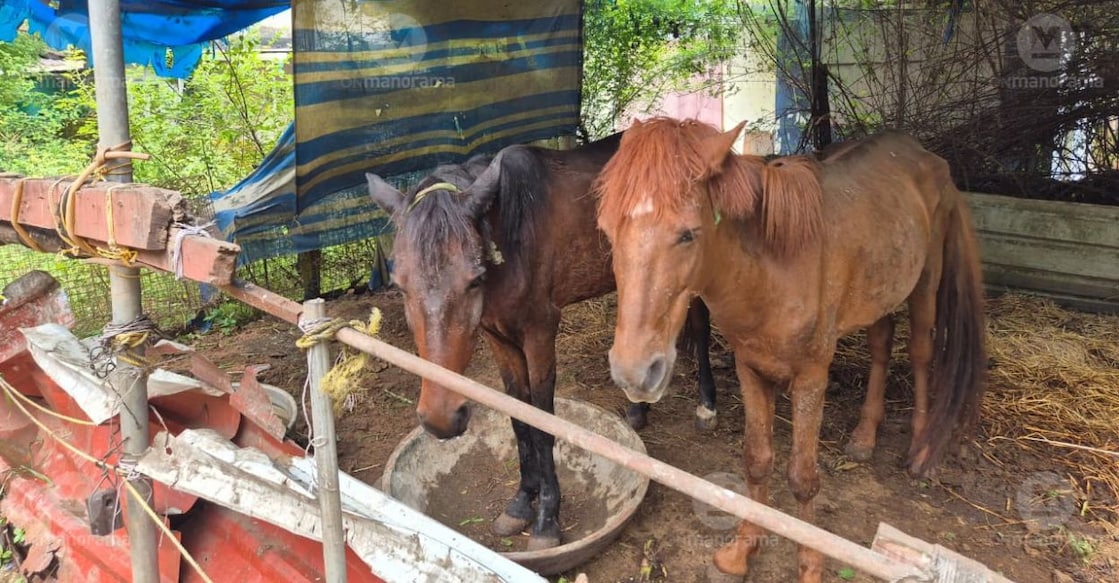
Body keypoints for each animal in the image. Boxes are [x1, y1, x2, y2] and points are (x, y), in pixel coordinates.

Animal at [365, 132, 719, 550]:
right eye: (399, 285)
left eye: (474, 279)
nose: (440, 419)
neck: (511, 234)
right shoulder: (498, 338)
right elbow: (519, 419)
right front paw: (521, 503)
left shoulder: (539, 333)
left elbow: (543, 422)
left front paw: (547, 520)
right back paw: (637, 408)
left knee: (699, 327)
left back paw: (706, 406)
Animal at [594, 117, 987, 581]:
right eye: (606, 230)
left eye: (687, 234)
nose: (634, 373)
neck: (773, 269)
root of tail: (923, 154)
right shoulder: (750, 368)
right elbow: (756, 459)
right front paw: (742, 551)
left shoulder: (811, 378)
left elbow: (802, 477)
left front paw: (811, 566)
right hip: (879, 291)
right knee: (881, 346)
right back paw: (864, 436)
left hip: (926, 282)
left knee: (922, 353)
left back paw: (922, 447)